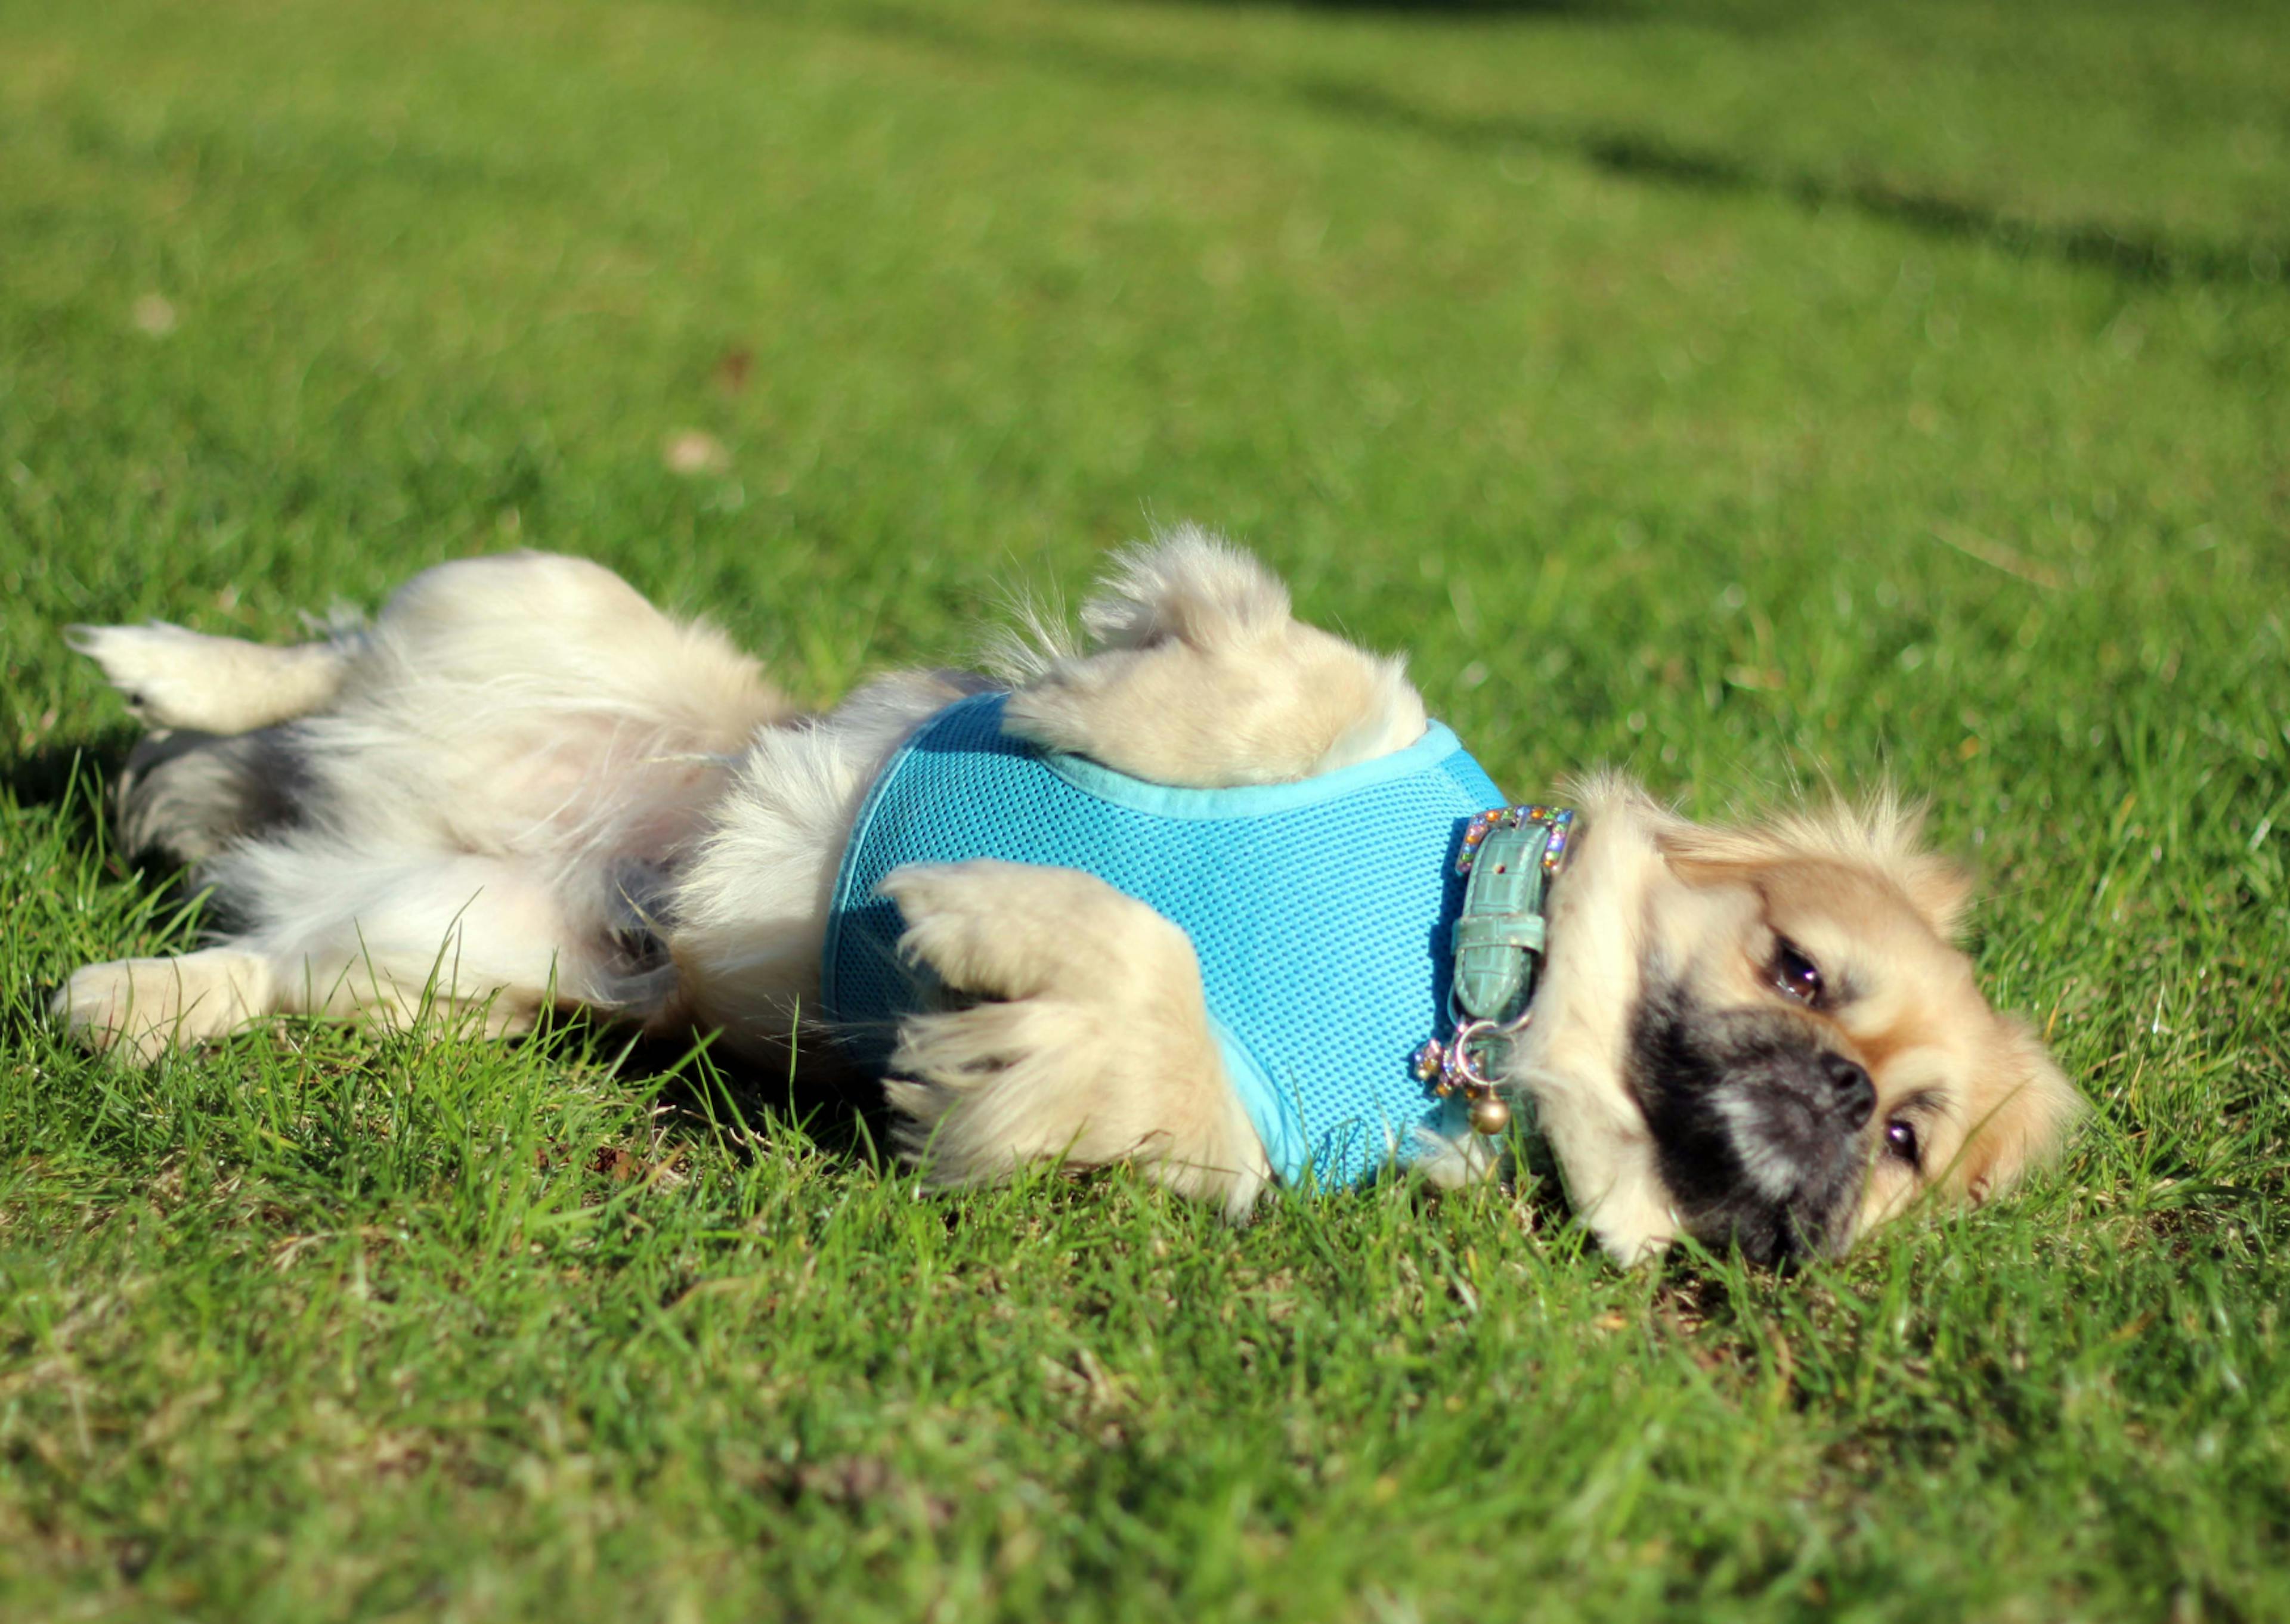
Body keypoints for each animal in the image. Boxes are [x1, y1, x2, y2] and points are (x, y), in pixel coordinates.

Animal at [54, 536, 2097, 1264]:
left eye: (1903, 1143)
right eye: (1796, 969)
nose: (1839, 1096)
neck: (1459, 984)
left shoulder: (1238, 1125)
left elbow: (1148, 1005)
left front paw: (972, 926)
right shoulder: (1317, 681)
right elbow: (1243, 678)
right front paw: (1052, 732)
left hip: (455, 950)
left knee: (267, 953)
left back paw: (124, 998)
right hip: (531, 596)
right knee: (315, 656)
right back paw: (153, 662)